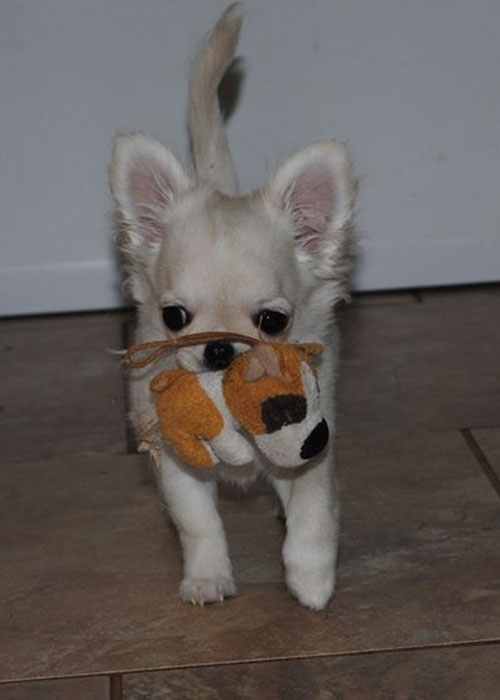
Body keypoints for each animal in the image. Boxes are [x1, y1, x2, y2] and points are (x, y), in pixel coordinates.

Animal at [111, 4, 358, 608]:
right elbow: (198, 522)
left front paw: (311, 578)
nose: (220, 350)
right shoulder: (175, 457)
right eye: (175, 317)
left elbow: (314, 514)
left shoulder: (313, 441)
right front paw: (207, 576)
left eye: (272, 322)